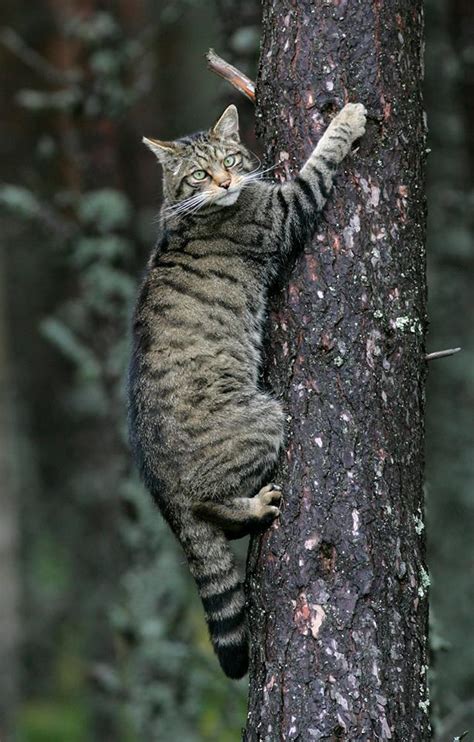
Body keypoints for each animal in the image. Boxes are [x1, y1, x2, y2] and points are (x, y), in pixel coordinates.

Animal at [129, 100, 366, 680]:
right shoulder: (285, 208)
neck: (191, 212)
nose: (225, 181)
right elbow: (320, 161)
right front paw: (346, 119)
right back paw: (255, 508)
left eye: (230, 159)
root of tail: (158, 484)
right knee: (210, 507)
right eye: (198, 174)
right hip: (264, 417)